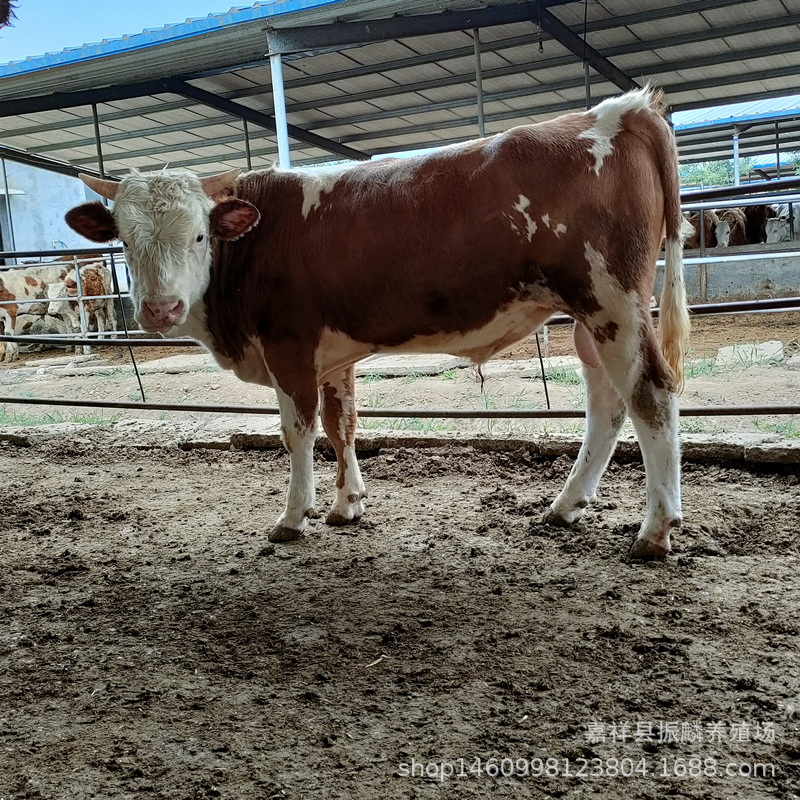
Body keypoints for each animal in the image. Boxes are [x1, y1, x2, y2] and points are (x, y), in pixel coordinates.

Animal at [69, 87, 692, 560]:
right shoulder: (331, 354)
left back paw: (655, 530)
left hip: (612, 299)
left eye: (200, 236)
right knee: (607, 402)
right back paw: (565, 507)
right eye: (124, 241)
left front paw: (293, 516)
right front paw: (346, 505)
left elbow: (298, 432)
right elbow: (342, 425)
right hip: (592, 314)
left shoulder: (288, 345)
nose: (160, 309)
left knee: (650, 394)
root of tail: (620, 110)